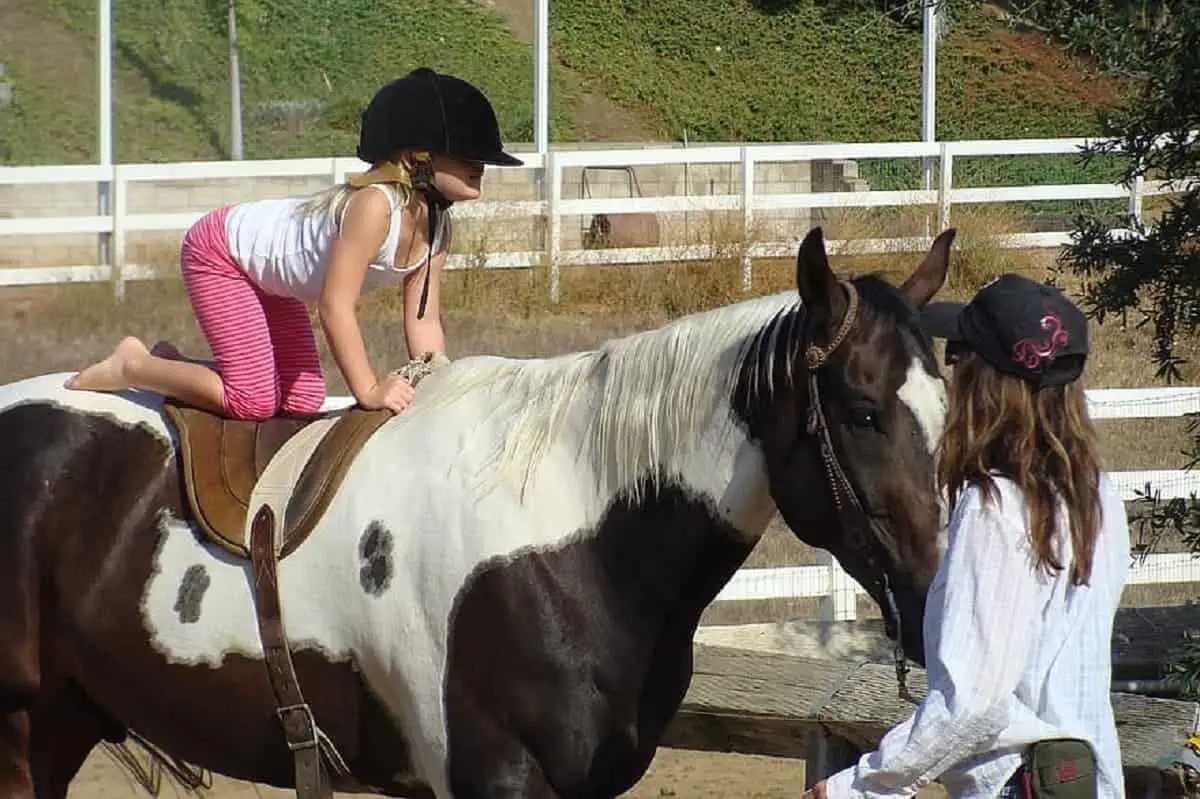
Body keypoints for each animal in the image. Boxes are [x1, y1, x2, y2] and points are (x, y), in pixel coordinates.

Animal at [0, 220, 955, 791]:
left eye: (947, 407)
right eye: (863, 411)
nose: (931, 601)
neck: (570, 535)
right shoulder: (493, 774)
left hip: (62, 717)